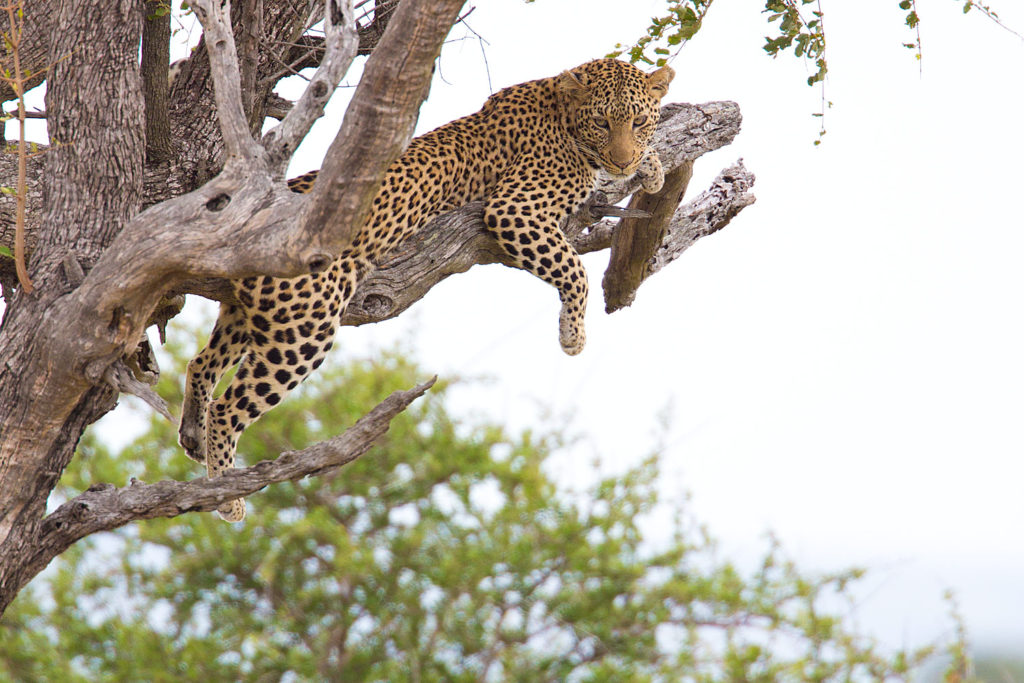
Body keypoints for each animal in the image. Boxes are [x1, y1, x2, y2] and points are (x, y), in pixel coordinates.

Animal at [180, 58, 675, 520]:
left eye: (638, 121)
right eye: (602, 121)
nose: (624, 160)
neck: (560, 109)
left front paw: (649, 166)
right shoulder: (514, 208)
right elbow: (574, 269)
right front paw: (572, 336)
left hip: (253, 313)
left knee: (201, 362)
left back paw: (191, 435)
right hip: (304, 330)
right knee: (228, 408)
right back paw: (225, 496)